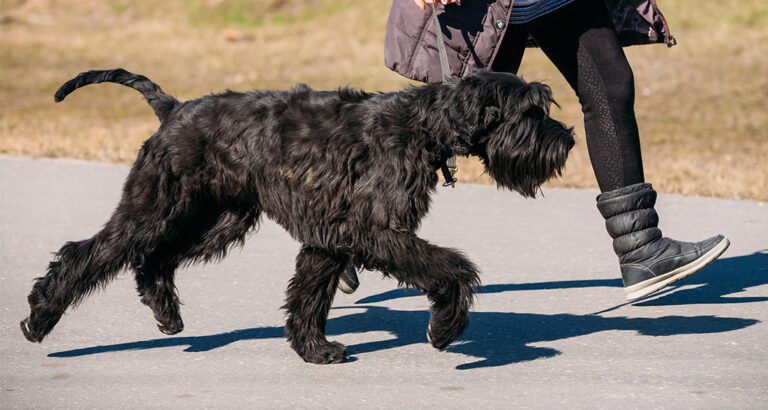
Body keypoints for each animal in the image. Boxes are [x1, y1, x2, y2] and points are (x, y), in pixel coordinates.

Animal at [18, 69, 572, 364]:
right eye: (530, 112)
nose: (566, 141)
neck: (423, 126)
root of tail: (172, 109)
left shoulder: (332, 237)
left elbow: (308, 294)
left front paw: (313, 349)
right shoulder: (375, 231)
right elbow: (452, 267)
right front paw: (446, 327)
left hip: (219, 218)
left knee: (155, 259)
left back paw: (167, 313)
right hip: (155, 208)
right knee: (89, 253)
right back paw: (39, 317)